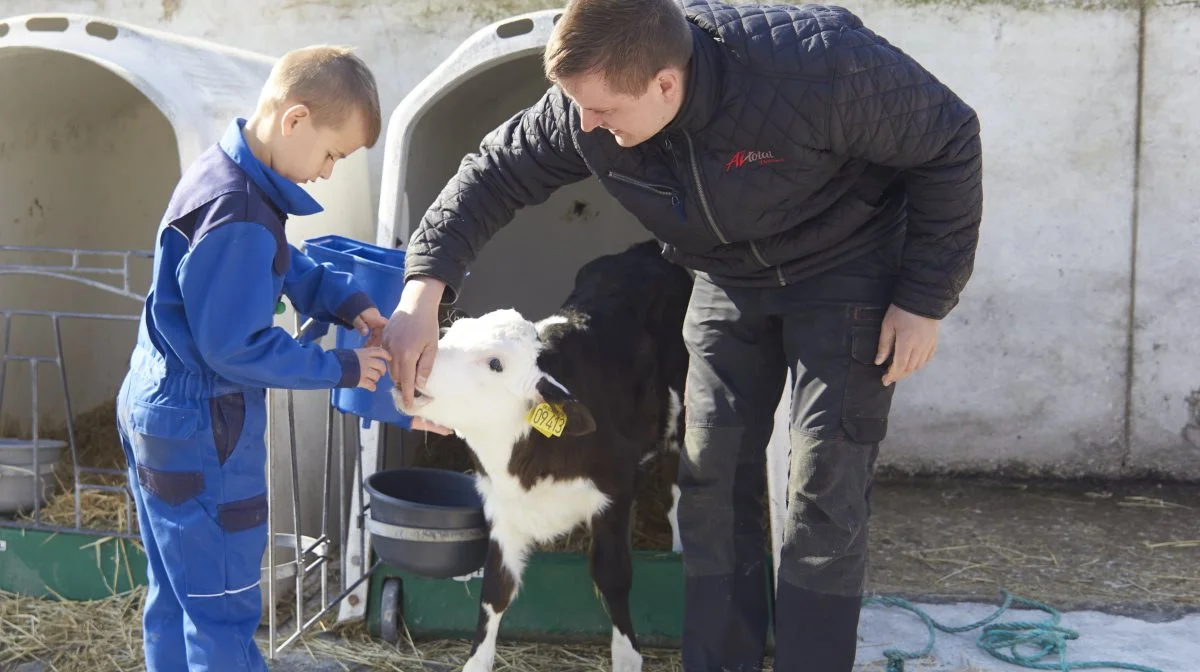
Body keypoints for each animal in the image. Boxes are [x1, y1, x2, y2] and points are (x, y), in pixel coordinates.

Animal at [396, 241, 691, 672]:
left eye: (495, 363)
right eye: (447, 335)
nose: (417, 363)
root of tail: (649, 249)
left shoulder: (614, 490)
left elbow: (612, 575)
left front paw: (628, 656)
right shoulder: (501, 504)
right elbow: (495, 588)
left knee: (676, 492)